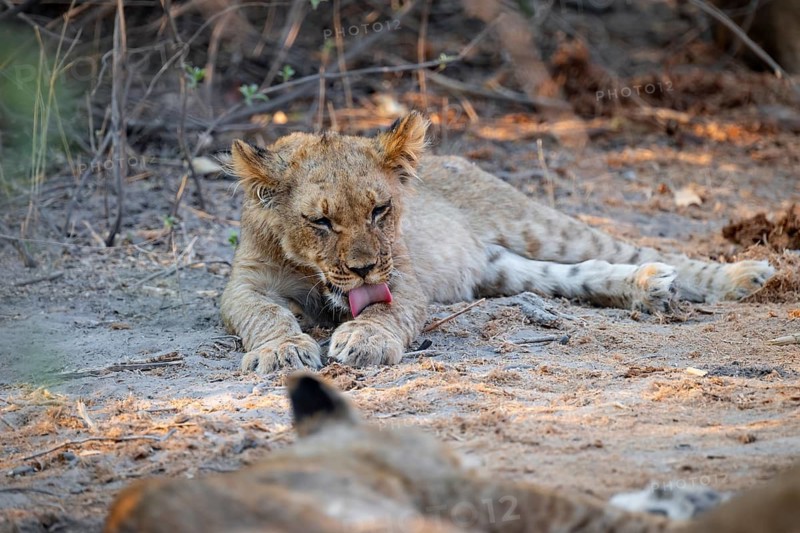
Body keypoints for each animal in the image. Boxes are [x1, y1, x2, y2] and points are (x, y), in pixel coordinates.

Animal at [219, 112, 774, 372]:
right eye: (320, 221)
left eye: (380, 210)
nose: (362, 271)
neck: (309, 270)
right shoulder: (242, 285)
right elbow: (263, 313)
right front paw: (282, 352)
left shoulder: (404, 276)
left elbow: (383, 310)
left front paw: (363, 340)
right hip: (502, 268)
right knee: (581, 274)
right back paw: (648, 287)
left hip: (536, 223)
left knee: (627, 248)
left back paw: (745, 276)